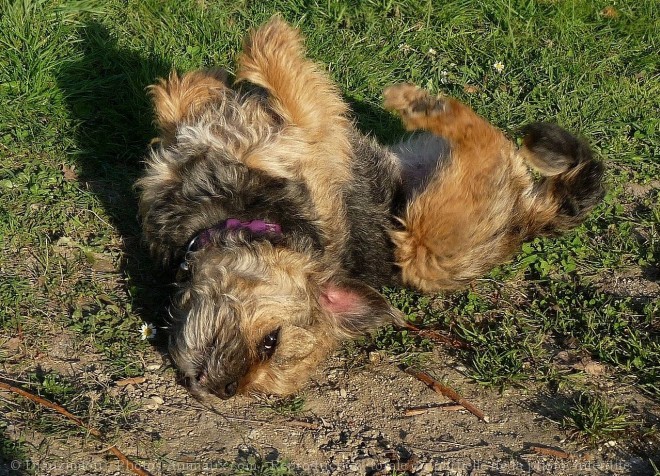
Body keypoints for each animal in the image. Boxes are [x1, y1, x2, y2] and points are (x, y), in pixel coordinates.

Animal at [137, 16, 604, 400]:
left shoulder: (313, 134)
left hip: (423, 247)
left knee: (486, 137)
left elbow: (290, 83)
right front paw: (203, 85)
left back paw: (423, 104)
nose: (226, 390)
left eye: (271, 344)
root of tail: (527, 224)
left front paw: (270, 40)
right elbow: (181, 105)